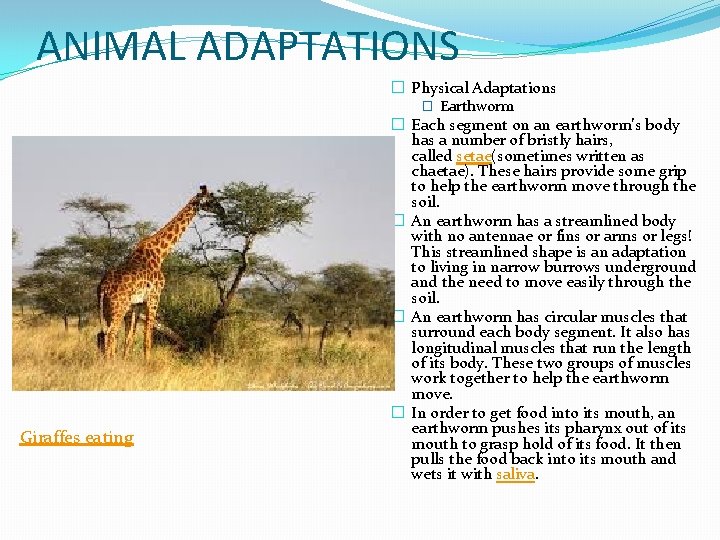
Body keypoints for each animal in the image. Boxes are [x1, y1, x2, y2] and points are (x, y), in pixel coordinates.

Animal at [97, 185, 223, 361]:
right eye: (212, 199)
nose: (223, 211)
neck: (160, 253)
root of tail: (103, 287)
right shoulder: (154, 297)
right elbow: (147, 336)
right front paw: (147, 363)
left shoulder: (137, 303)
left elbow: (130, 338)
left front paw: (125, 361)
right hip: (119, 305)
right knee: (110, 333)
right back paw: (109, 364)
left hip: (107, 307)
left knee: (104, 334)